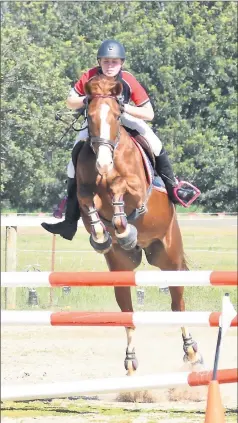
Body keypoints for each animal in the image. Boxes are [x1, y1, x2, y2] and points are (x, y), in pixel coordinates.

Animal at [75, 74, 203, 376]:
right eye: (90, 115)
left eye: (116, 115)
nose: (103, 164)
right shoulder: (83, 191)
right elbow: (89, 202)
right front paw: (102, 236)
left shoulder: (135, 188)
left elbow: (121, 188)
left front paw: (123, 228)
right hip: (121, 269)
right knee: (127, 312)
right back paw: (130, 361)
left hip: (170, 257)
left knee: (177, 303)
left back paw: (191, 352)